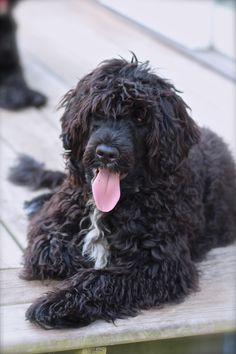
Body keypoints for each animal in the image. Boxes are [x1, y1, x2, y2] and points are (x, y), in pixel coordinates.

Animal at [9, 56, 236, 330]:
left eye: (140, 118)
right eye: (97, 112)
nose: (106, 153)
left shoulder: (161, 263)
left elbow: (102, 278)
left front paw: (57, 304)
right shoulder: (51, 225)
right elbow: (50, 250)